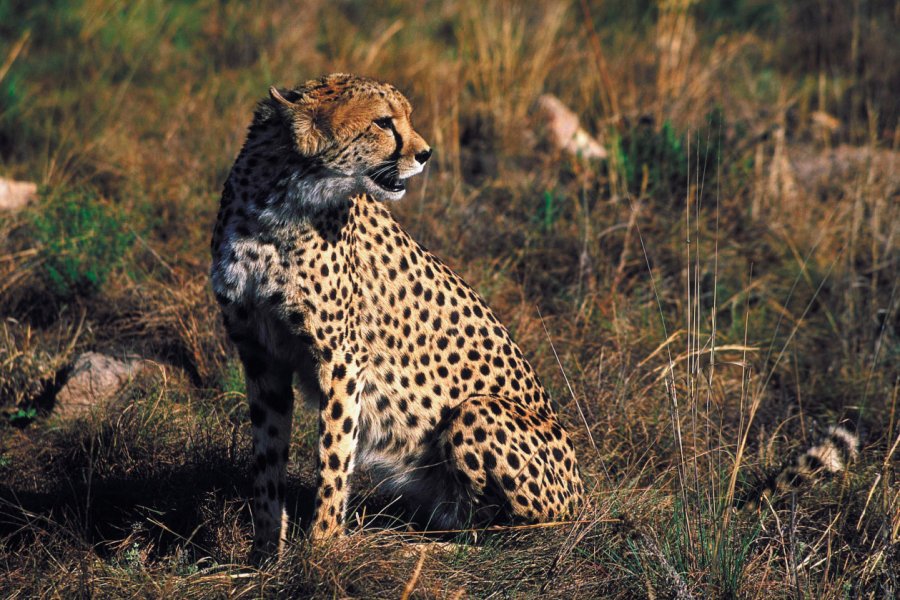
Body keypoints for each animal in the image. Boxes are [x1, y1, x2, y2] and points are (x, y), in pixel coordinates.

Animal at [214, 74, 588, 556]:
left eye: (405, 118)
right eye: (383, 122)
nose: (425, 153)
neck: (279, 203)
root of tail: (581, 493)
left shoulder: (342, 359)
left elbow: (334, 457)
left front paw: (322, 550)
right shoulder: (260, 354)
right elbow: (267, 461)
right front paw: (265, 556)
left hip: (478, 412)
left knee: (501, 531)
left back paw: (429, 547)